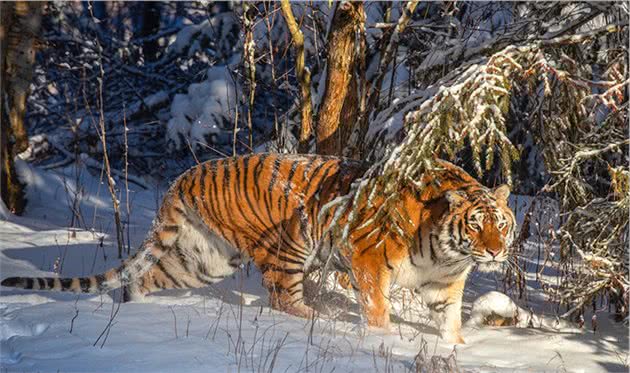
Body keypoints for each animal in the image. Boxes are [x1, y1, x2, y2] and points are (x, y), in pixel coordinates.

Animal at [0, 153, 516, 342]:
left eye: (501, 226)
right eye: (476, 225)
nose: (494, 252)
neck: (449, 251)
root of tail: (185, 175)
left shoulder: (445, 284)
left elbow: (449, 321)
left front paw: (457, 350)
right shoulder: (370, 262)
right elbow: (376, 309)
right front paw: (382, 341)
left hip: (204, 259)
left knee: (148, 276)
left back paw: (131, 309)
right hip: (288, 244)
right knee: (282, 297)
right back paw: (318, 319)